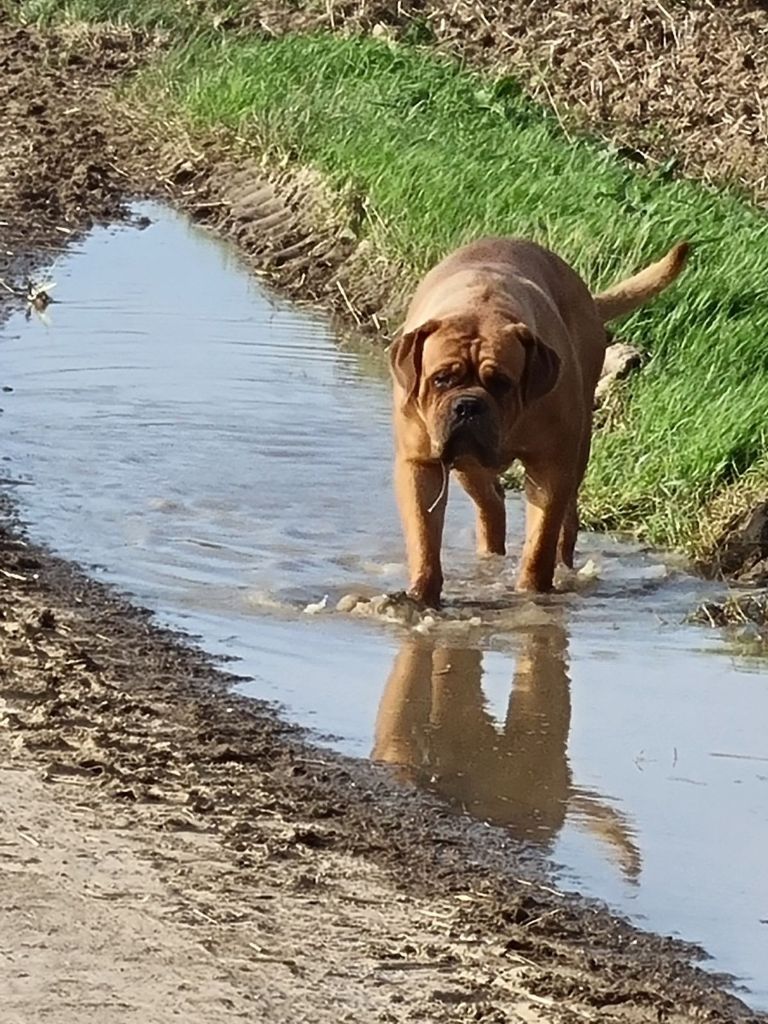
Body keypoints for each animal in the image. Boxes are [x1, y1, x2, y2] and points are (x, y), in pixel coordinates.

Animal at [391, 235, 692, 602]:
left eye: (501, 382)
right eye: (441, 379)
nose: (468, 406)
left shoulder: (551, 465)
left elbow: (540, 540)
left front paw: (531, 592)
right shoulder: (420, 464)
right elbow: (423, 536)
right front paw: (421, 594)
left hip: (577, 449)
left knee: (566, 521)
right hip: (468, 464)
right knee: (491, 504)